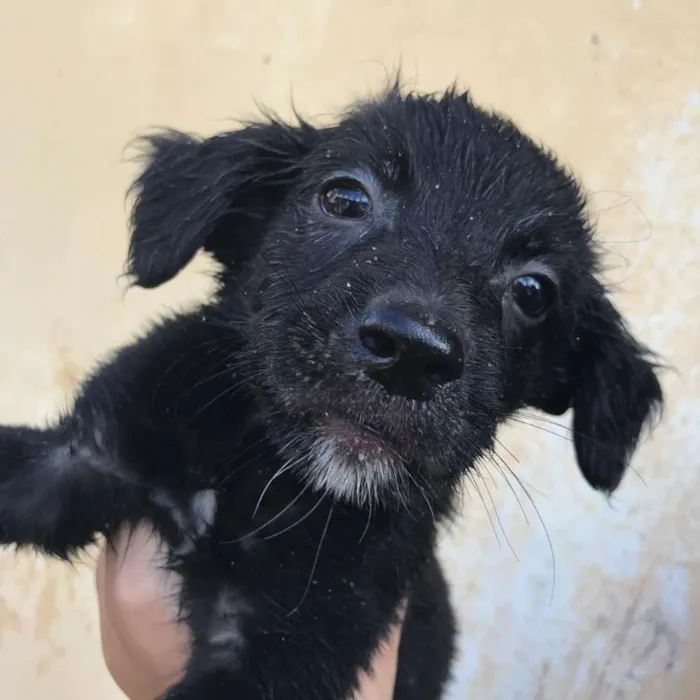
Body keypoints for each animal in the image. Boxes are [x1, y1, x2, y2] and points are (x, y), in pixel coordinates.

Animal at [0, 85, 660, 696]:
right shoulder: (85, 451)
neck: (257, 469)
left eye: (533, 291)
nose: (413, 355)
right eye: (345, 199)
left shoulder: (299, 638)